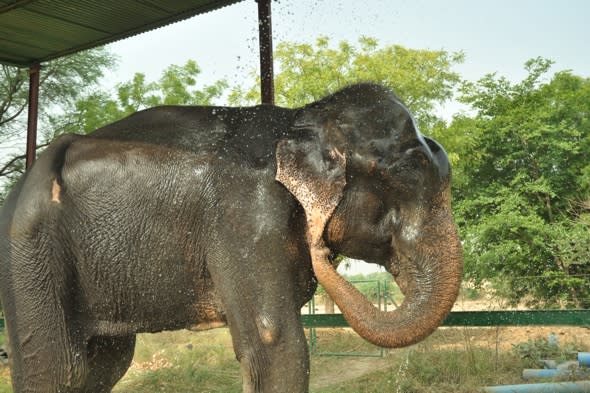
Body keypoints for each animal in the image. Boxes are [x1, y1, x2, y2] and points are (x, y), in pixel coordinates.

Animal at [0, 82, 462, 388]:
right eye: (409, 173)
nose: (323, 248)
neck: (299, 119)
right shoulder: (246, 217)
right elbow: (275, 343)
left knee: (105, 363)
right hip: (28, 253)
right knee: (60, 368)